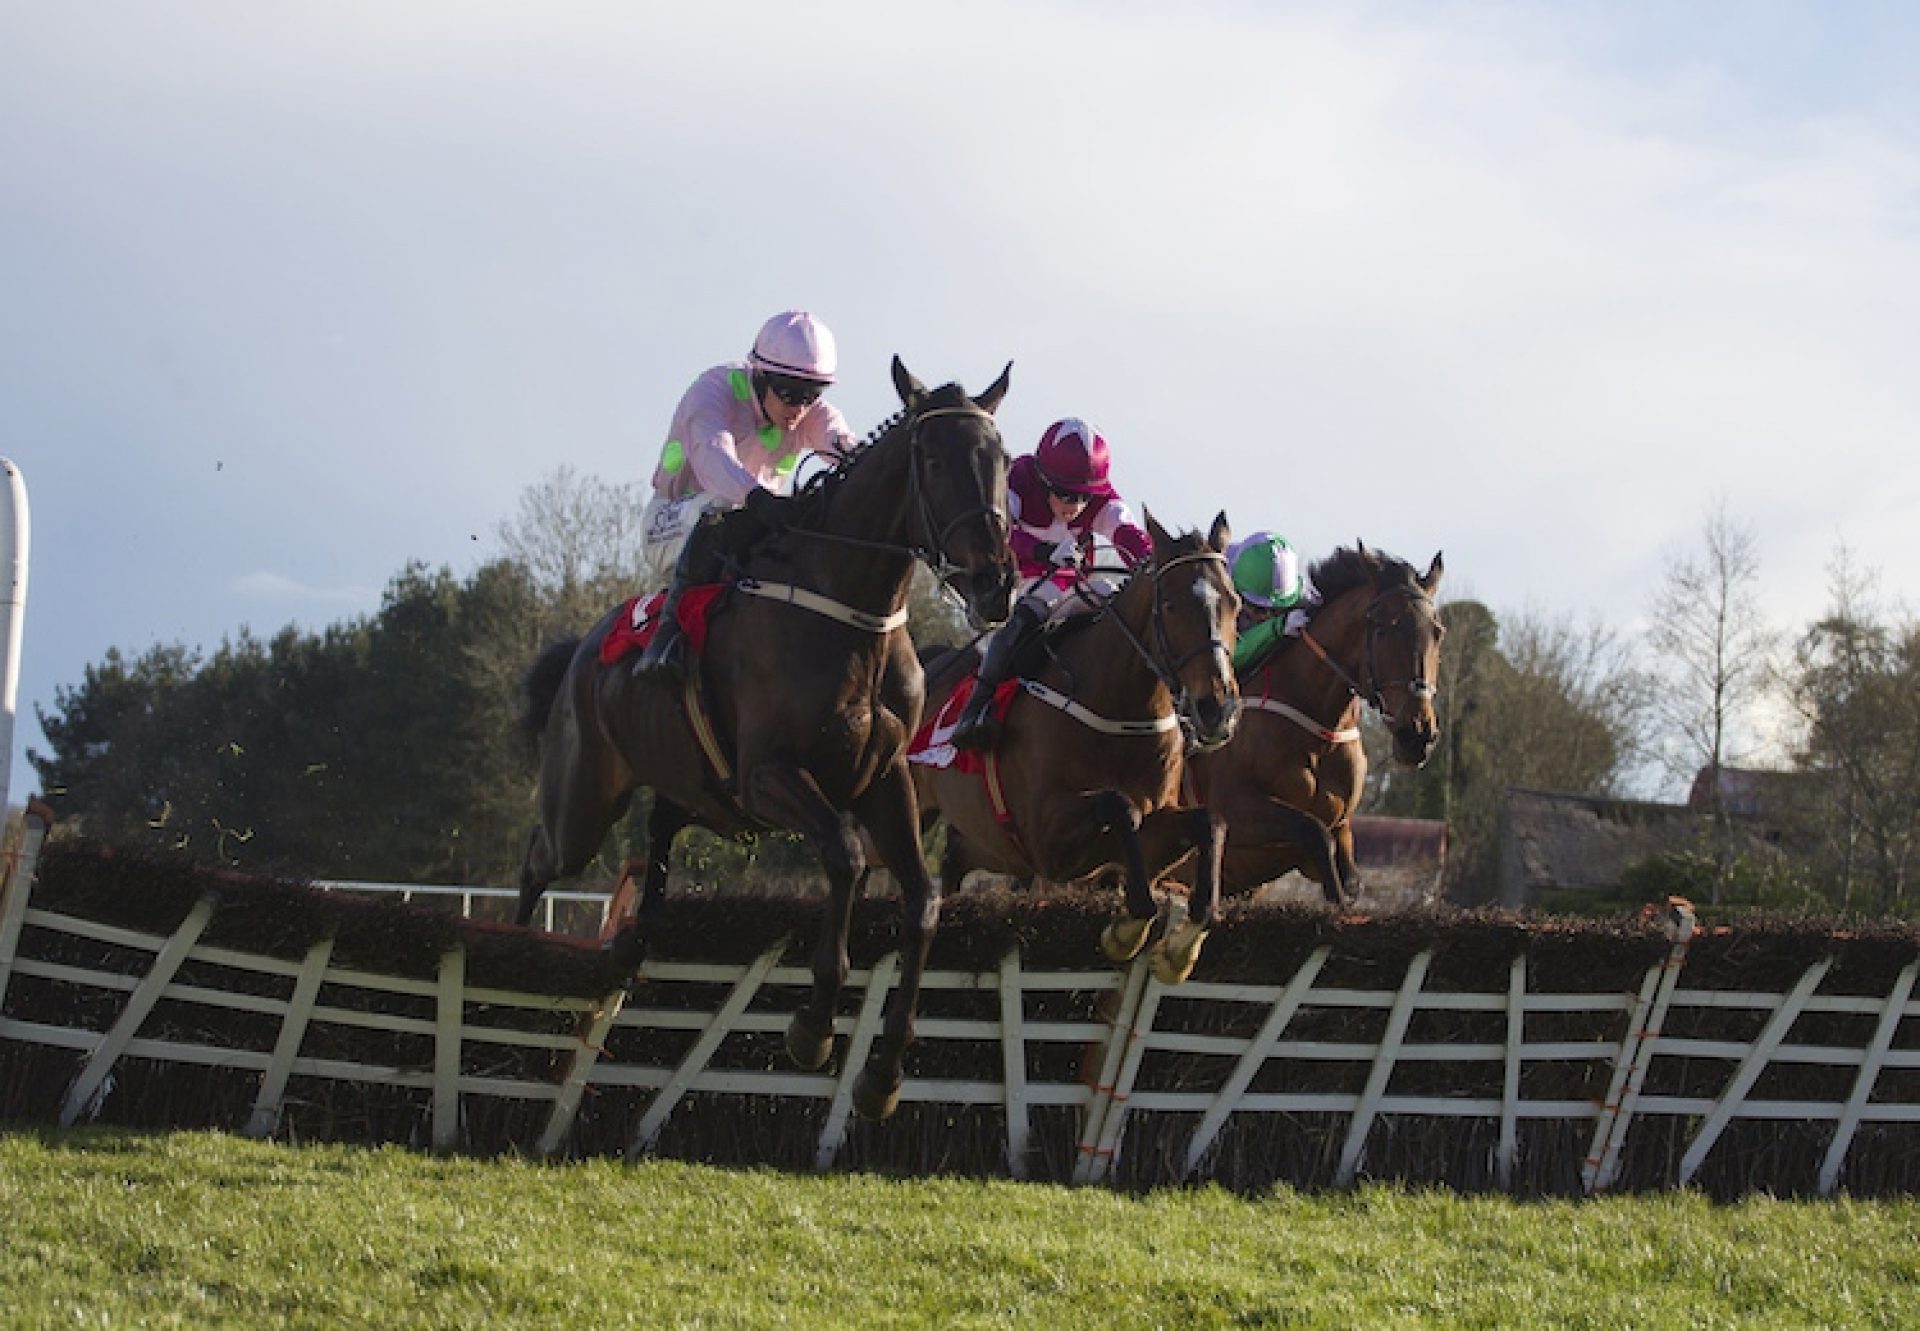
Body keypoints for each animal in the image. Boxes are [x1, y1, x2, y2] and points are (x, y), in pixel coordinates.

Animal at [510, 359, 1021, 1113]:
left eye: (1003, 460)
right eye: (932, 459)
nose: (995, 583)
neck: (851, 612)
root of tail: (581, 649)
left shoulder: (884, 777)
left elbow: (923, 899)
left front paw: (884, 1069)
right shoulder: (769, 775)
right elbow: (845, 857)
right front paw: (814, 1022)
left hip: (701, 792)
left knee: (658, 830)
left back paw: (637, 936)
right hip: (584, 802)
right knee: (538, 859)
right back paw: (514, 953)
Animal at [913, 514, 1290, 979]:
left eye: (1234, 604)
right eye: (1170, 604)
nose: (1217, 709)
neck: (1117, 709)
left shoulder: (1153, 831)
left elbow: (1211, 823)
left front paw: (1181, 944)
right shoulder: (1045, 838)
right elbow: (1119, 805)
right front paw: (1128, 927)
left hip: (976, 843)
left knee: (948, 867)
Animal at [1182, 537, 1443, 914]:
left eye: (1438, 633)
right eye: (1381, 627)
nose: (1418, 735)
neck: (1321, 733)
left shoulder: (1343, 823)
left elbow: (1350, 878)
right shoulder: (1231, 805)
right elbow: (1314, 832)